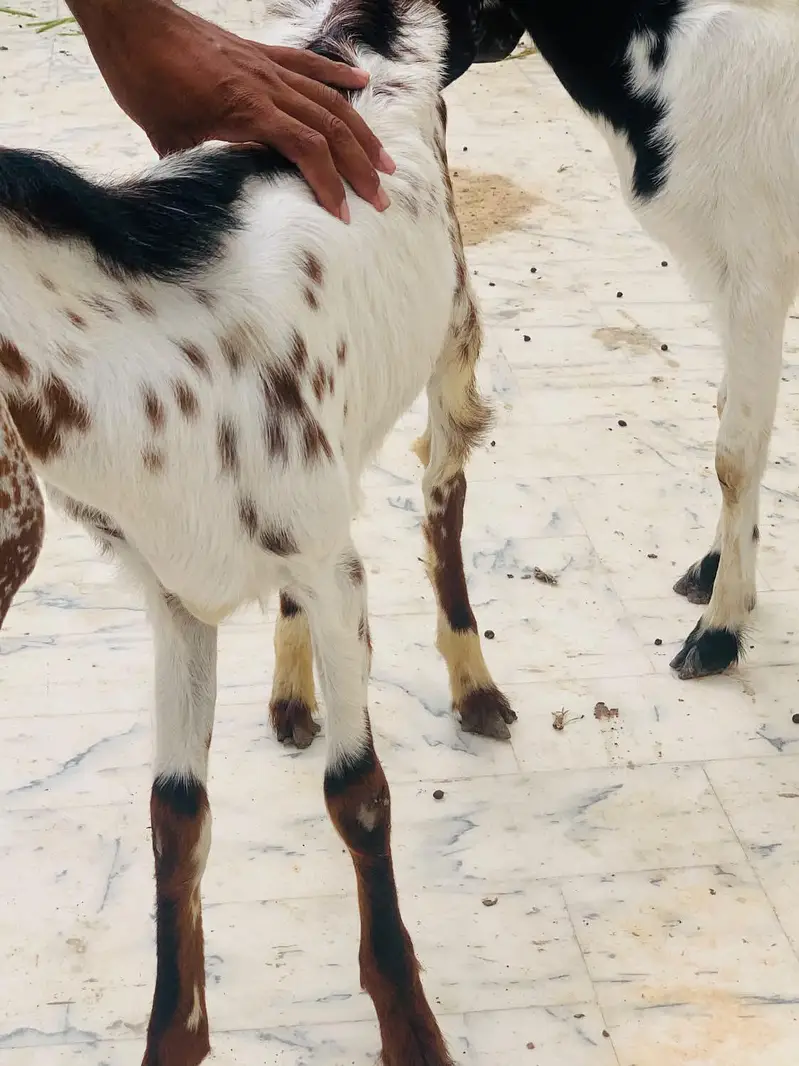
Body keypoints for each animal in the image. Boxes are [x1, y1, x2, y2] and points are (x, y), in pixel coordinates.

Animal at [0, 2, 516, 1062]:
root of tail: (363, 29)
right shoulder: (171, 597)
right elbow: (174, 815)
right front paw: (174, 1036)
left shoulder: (334, 570)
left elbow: (358, 794)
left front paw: (411, 1031)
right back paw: (288, 693)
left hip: (452, 333)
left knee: (443, 496)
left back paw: (472, 683)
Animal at [469, 0, 799, 679]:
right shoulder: (725, 280)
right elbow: (734, 416)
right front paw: (718, 570)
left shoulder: (758, 275)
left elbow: (735, 454)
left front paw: (718, 632)